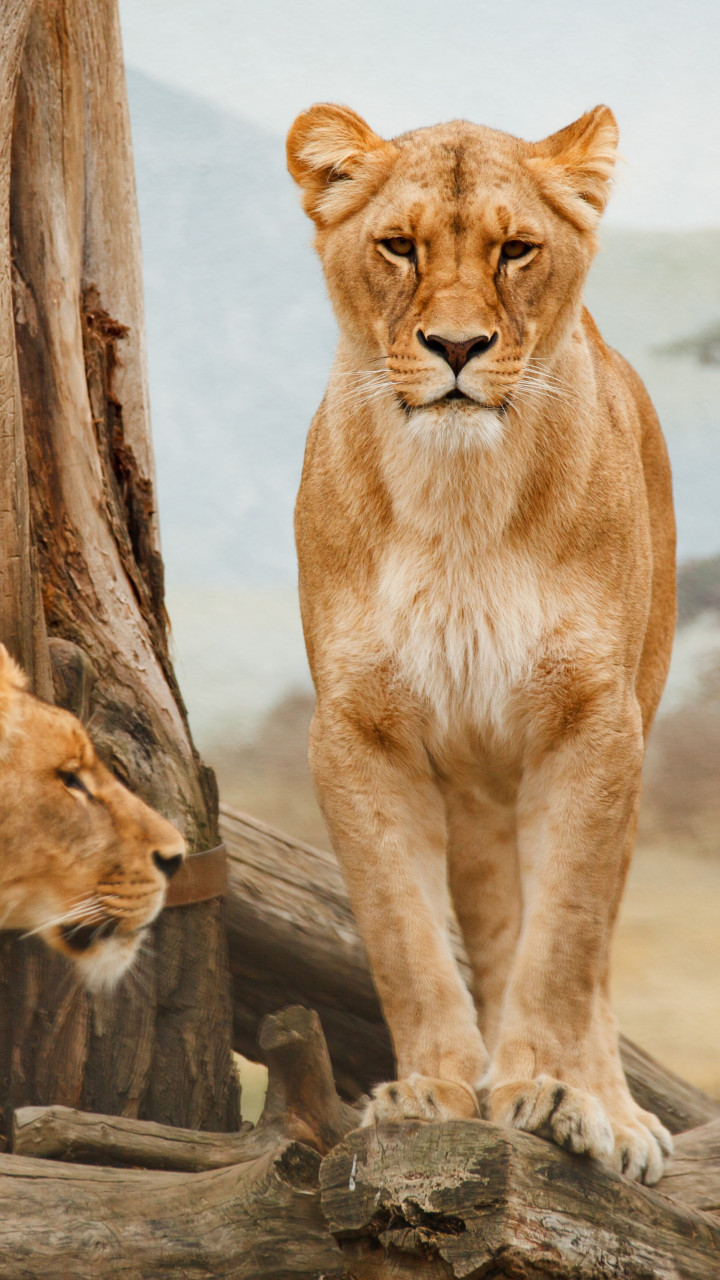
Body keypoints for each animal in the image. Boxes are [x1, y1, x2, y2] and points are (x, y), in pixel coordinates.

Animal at [287, 103, 677, 1183]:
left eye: (515, 250)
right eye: (398, 245)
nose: (457, 346)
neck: (459, 496)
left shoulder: (593, 722)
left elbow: (566, 942)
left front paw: (551, 1093)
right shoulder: (357, 731)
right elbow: (404, 932)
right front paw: (432, 1090)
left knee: (590, 949)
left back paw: (612, 1112)